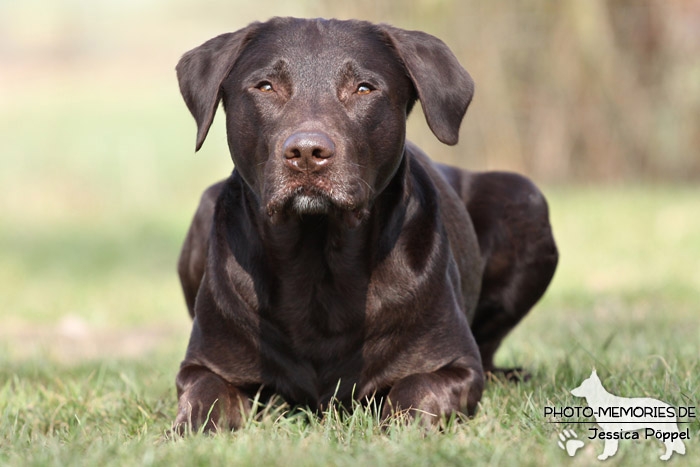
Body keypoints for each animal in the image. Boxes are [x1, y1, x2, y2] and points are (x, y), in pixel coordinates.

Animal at [174, 18, 556, 436]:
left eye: (363, 88)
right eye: (265, 86)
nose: (306, 152)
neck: (317, 261)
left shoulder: (454, 366)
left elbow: (415, 390)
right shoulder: (204, 365)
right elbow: (204, 395)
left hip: (524, 197)